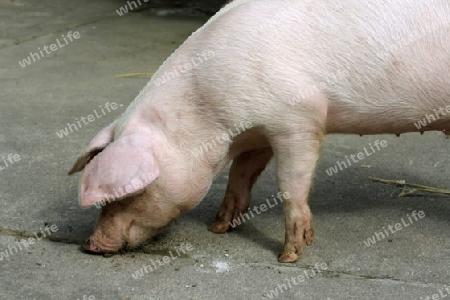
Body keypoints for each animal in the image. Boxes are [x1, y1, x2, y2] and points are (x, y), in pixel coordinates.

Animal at [68, 0, 450, 262]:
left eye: (128, 194)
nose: (90, 245)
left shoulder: (299, 118)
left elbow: (290, 185)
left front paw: (289, 257)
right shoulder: (256, 135)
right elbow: (239, 179)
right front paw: (218, 228)